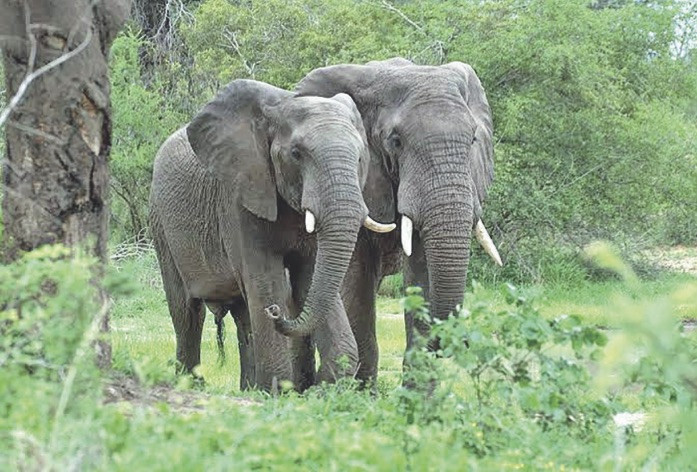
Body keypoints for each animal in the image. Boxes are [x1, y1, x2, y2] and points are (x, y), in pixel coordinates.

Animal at [149, 79, 395, 392]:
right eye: (296, 154)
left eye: (361, 157)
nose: (276, 311)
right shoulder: (240, 196)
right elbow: (266, 280)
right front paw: (277, 392)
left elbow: (310, 280)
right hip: (161, 224)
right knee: (187, 312)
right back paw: (192, 386)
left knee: (242, 315)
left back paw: (248, 388)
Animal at [280, 57, 502, 387]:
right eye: (395, 141)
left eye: (473, 139)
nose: (458, 341)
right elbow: (356, 279)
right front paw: (360, 394)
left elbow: (420, 270)